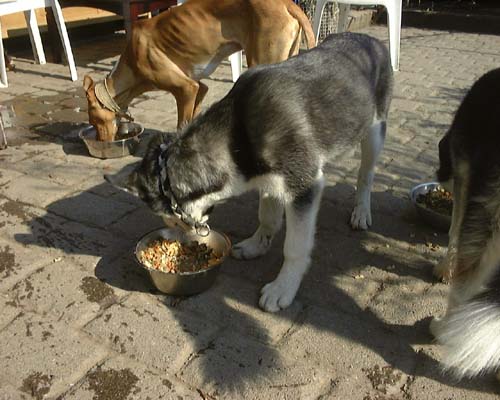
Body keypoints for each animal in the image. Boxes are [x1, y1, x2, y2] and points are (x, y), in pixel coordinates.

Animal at [84, 0, 314, 142]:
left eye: (94, 120)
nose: (101, 141)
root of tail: (286, 4)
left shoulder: (186, 89)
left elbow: (181, 124)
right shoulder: (200, 88)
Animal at [106, 32, 394, 312]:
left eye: (172, 221)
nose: (186, 240)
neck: (236, 136)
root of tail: (369, 38)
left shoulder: (304, 186)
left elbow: (295, 247)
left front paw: (283, 287)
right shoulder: (271, 182)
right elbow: (267, 217)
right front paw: (257, 245)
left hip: (374, 133)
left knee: (365, 176)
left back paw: (362, 211)